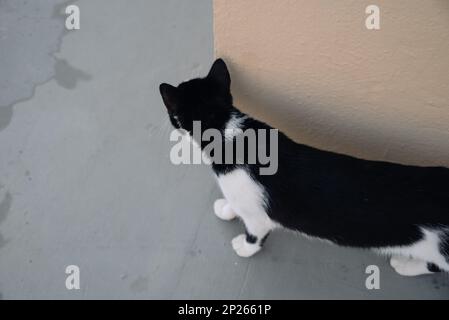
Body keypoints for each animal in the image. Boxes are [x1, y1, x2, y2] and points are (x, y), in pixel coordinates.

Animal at [158, 58, 448, 276]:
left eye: (172, 116)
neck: (228, 133)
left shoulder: (258, 217)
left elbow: (255, 234)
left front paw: (244, 246)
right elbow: (235, 203)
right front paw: (227, 208)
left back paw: (405, 265)